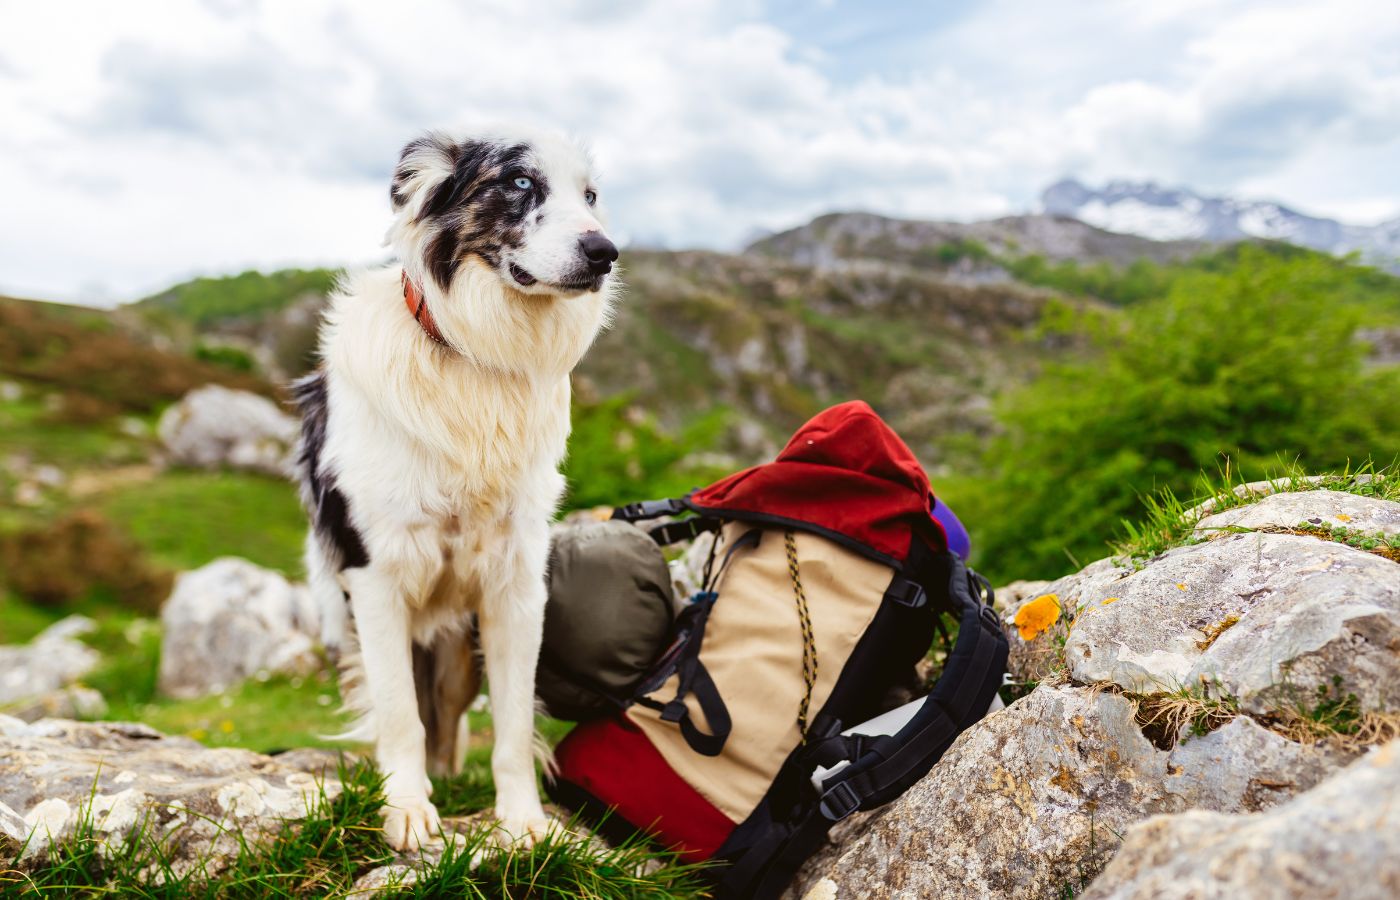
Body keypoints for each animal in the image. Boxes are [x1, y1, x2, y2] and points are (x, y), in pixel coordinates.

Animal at [294, 126, 618, 851]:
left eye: (589, 196)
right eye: (520, 183)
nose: (605, 253)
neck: (473, 362)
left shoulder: (516, 585)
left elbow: (515, 725)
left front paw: (523, 822)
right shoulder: (375, 577)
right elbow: (398, 717)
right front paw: (407, 810)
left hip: (456, 656)